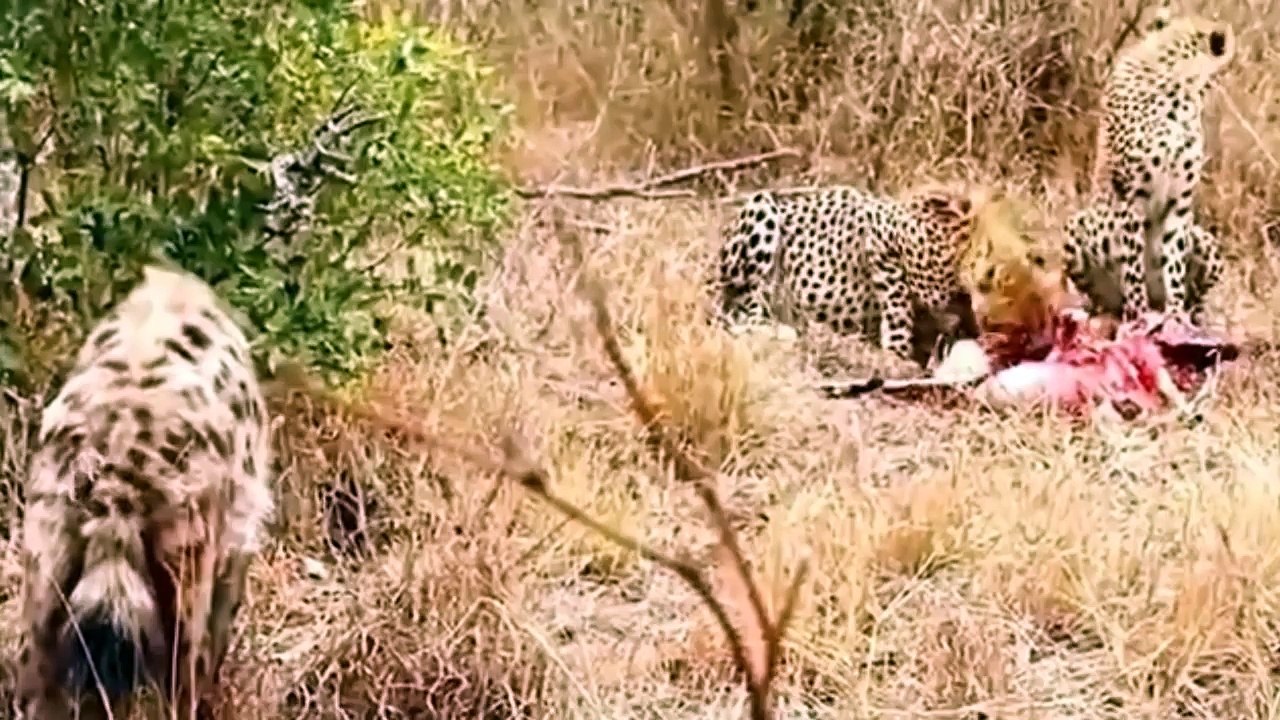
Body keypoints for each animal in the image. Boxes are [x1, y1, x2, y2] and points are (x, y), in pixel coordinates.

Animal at [15, 263, 274, 720]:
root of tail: (116, 468)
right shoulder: (235, 548)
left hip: (46, 560)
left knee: (34, 678)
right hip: (187, 567)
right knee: (184, 677)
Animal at [717, 181, 1063, 371]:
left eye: (1046, 321)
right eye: (1018, 329)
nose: (1040, 349)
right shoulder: (880, 236)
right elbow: (898, 302)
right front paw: (897, 353)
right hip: (760, 208)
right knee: (737, 308)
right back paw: (778, 328)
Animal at [1062, 4, 1234, 324]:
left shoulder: (1179, 203)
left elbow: (1174, 265)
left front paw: (1176, 314)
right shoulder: (1132, 198)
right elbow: (1133, 266)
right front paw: (1140, 313)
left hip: (1202, 238)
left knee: (1196, 298)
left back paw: (1189, 316)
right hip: (1076, 227)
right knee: (1102, 298)